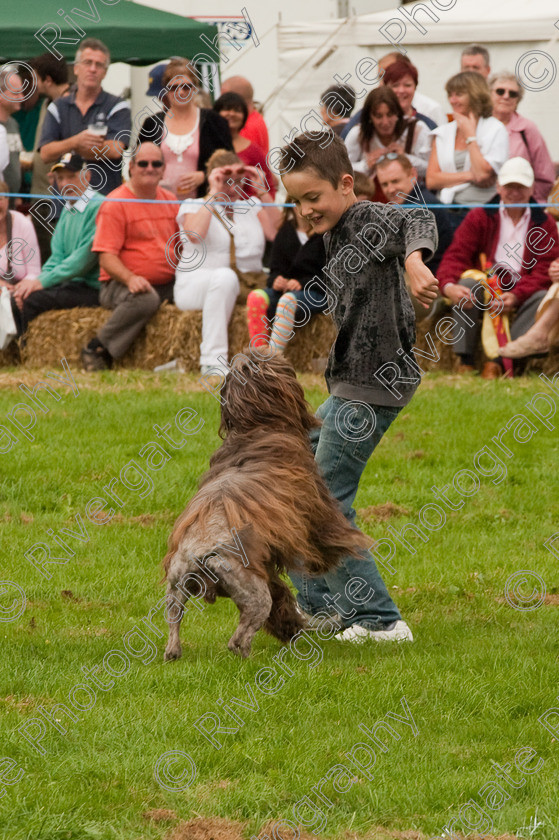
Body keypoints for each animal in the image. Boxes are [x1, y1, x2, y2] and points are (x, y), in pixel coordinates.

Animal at [164, 348, 370, 656]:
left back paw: (174, 652)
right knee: (243, 633)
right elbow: (328, 536)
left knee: (175, 623)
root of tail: (199, 556)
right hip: (253, 591)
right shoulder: (314, 506)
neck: (256, 429)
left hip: (176, 588)